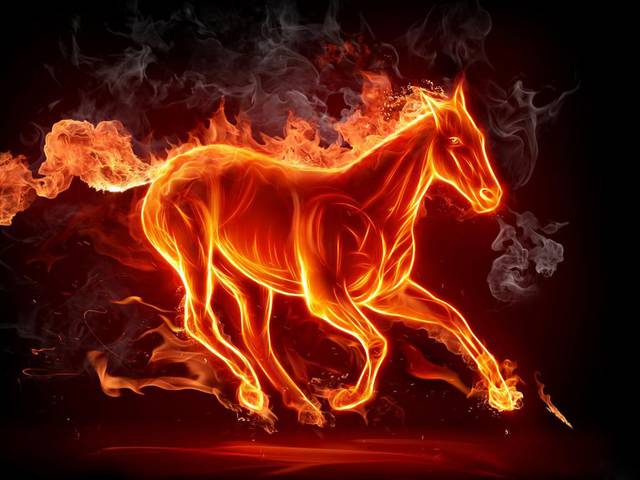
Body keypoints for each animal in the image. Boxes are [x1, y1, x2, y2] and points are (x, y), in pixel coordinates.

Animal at [140, 81, 522, 427]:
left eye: (479, 138)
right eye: (455, 142)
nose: (491, 196)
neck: (371, 208)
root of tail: (166, 174)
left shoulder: (386, 294)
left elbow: (452, 317)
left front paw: (502, 395)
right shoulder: (325, 297)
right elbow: (378, 341)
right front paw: (348, 397)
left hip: (243, 275)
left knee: (255, 337)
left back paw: (302, 406)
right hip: (194, 256)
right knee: (200, 320)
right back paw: (254, 392)